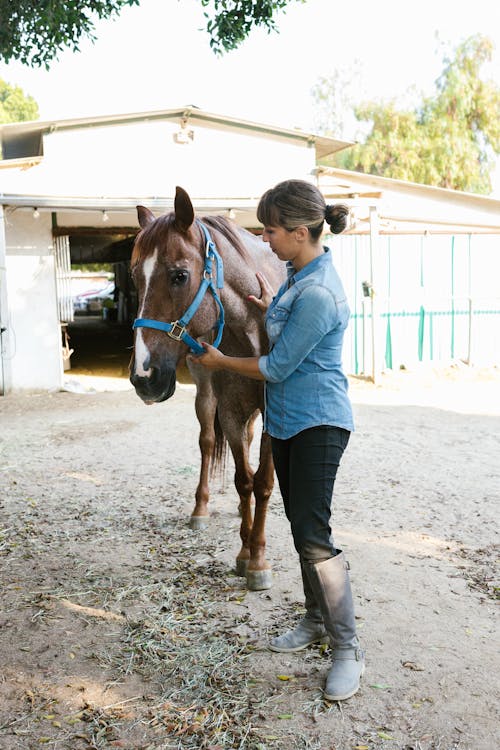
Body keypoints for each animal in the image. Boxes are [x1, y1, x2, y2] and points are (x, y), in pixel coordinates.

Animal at [128, 185, 286, 592]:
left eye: (180, 275)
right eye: (135, 277)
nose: (143, 376)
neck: (251, 329)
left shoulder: (274, 417)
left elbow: (262, 483)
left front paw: (259, 559)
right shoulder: (228, 410)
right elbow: (243, 480)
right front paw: (245, 554)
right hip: (205, 395)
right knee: (207, 442)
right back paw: (201, 508)